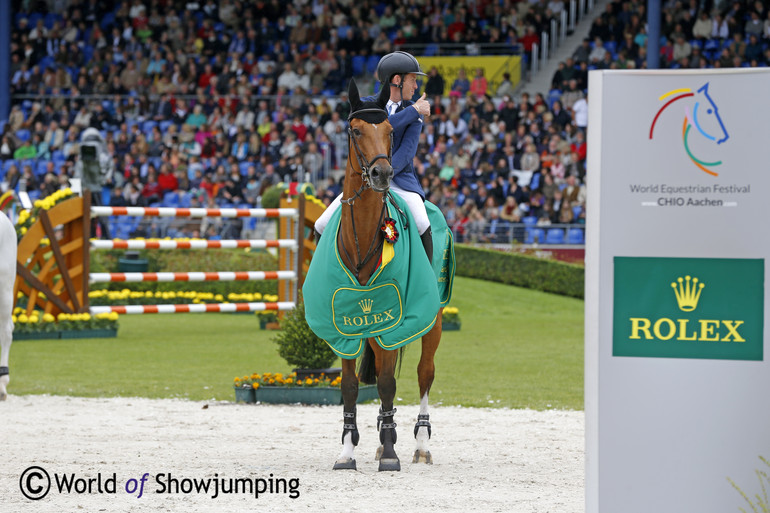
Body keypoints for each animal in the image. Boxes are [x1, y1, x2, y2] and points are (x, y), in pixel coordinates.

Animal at [312, 81, 444, 472]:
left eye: (389, 131)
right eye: (355, 131)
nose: (383, 175)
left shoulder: (391, 318)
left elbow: (386, 382)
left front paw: (389, 452)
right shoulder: (345, 322)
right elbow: (350, 386)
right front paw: (347, 451)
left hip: (432, 319)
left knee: (424, 373)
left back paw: (419, 444)